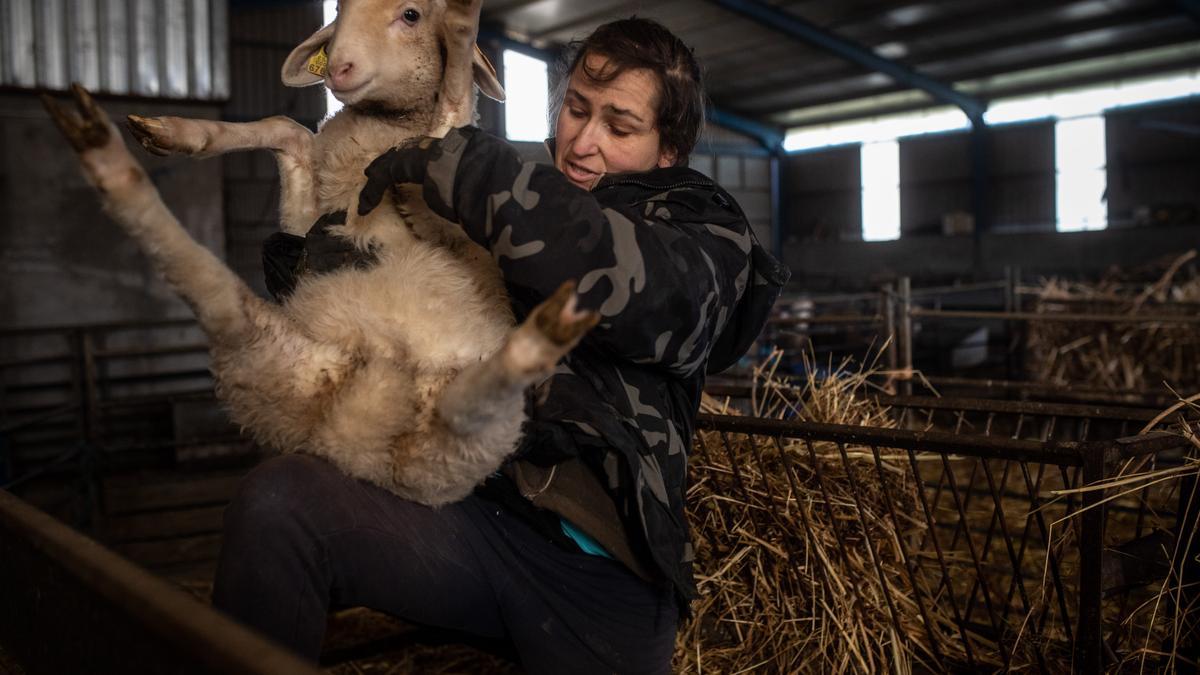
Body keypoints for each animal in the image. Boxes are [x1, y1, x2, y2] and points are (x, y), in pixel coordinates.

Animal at [43, 0, 600, 504]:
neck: (379, 135)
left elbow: (453, 101)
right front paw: (180, 132)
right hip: (274, 356)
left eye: (411, 15)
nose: (337, 68)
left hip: (457, 436)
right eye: (340, 11)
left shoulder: (447, 216)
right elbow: (285, 129)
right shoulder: (306, 216)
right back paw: (105, 153)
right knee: (213, 293)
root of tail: (356, 433)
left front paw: (463, 26)